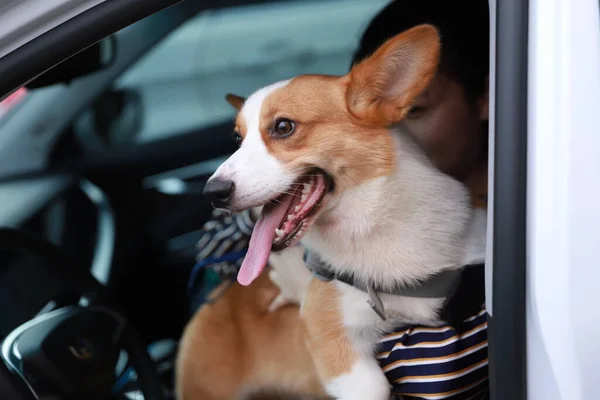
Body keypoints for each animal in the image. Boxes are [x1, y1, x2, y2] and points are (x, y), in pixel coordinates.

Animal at [203, 25, 488, 400]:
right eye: (238, 138)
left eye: (283, 127)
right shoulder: (330, 331)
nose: (212, 193)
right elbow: (373, 388)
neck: (370, 223)